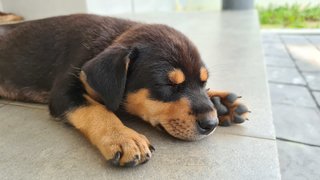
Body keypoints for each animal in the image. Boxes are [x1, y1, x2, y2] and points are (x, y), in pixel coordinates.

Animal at [0, 14, 250, 167]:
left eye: (204, 83)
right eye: (166, 85)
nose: (211, 124)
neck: (107, 41)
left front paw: (221, 103)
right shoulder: (64, 89)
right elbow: (97, 109)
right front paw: (123, 137)